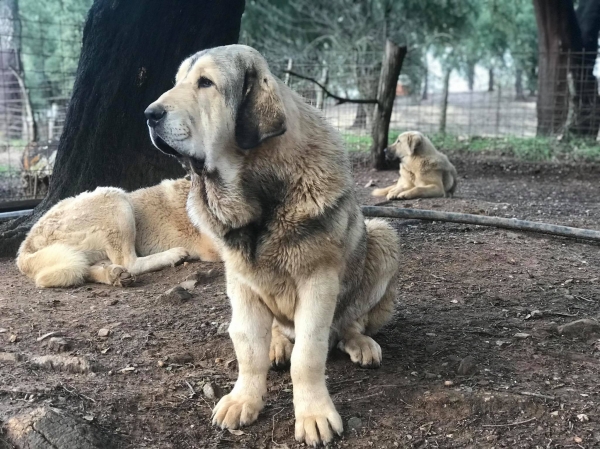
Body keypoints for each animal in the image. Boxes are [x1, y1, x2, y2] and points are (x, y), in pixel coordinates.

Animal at [16, 177, 220, 286]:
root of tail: (27, 244)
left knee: (87, 270)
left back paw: (114, 275)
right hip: (115, 199)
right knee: (129, 262)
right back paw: (172, 255)